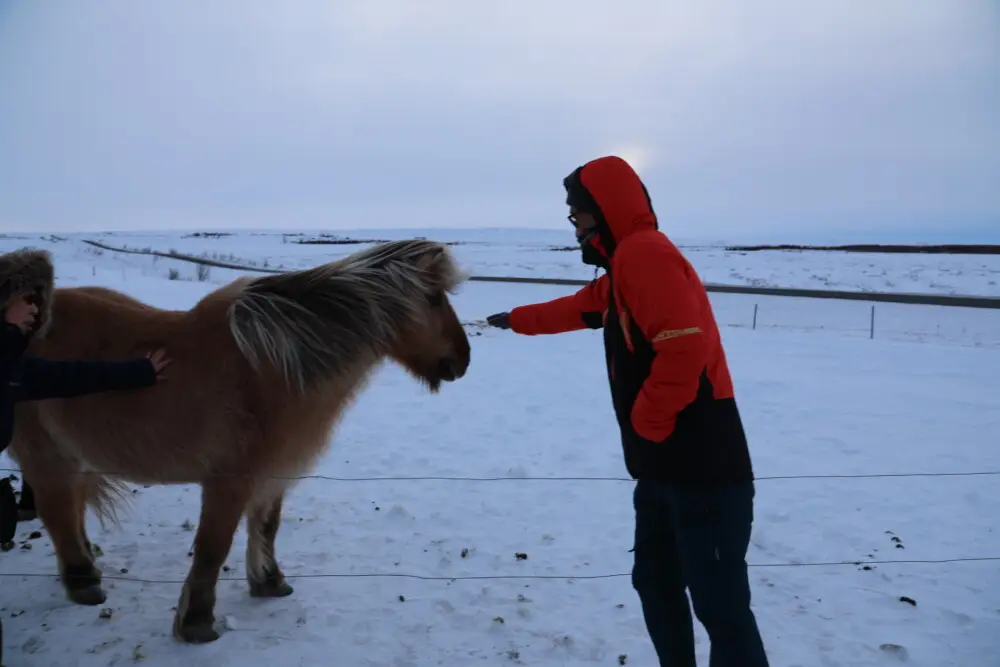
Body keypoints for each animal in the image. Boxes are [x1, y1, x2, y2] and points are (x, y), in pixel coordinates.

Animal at [6, 238, 471, 643]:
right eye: (433, 297)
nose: (462, 360)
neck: (273, 366)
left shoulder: (272, 476)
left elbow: (266, 527)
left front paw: (270, 583)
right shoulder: (228, 481)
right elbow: (213, 547)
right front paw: (196, 624)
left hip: (76, 456)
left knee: (71, 512)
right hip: (47, 456)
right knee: (57, 512)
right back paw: (85, 584)